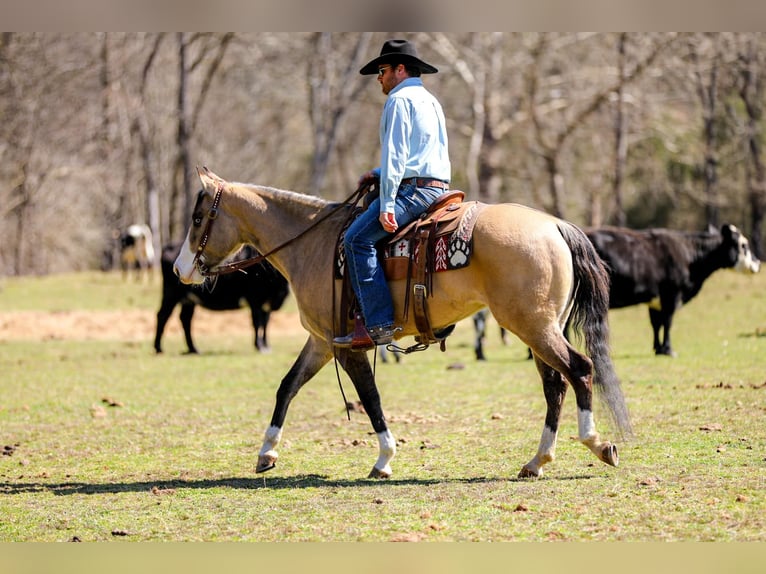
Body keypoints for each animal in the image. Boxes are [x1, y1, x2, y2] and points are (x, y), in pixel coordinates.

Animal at [173, 167, 632, 479]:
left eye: (197, 218)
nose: (180, 269)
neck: (313, 244)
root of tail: (555, 224)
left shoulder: (346, 345)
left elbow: (370, 398)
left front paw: (384, 458)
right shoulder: (322, 341)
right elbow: (287, 386)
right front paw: (267, 452)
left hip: (533, 326)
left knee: (579, 370)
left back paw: (595, 443)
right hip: (540, 328)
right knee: (555, 385)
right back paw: (537, 461)